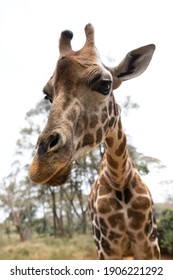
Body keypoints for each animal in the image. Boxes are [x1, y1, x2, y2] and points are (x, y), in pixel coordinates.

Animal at [28, 24, 159, 260]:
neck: (120, 178)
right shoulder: (106, 249)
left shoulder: (149, 245)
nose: (41, 166)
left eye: (105, 85)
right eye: (47, 96)